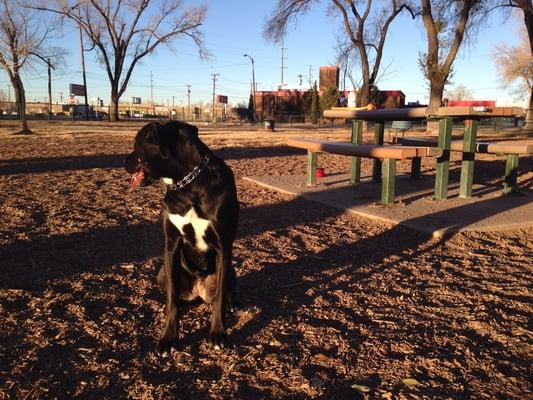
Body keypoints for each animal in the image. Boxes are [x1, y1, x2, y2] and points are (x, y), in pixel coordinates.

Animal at [124, 120, 237, 354]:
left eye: (136, 144)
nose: (123, 161)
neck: (189, 185)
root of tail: (198, 291)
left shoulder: (223, 246)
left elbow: (220, 299)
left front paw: (218, 333)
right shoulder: (171, 245)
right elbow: (172, 302)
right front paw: (169, 337)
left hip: (231, 271)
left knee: (226, 292)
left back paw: (233, 304)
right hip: (162, 273)